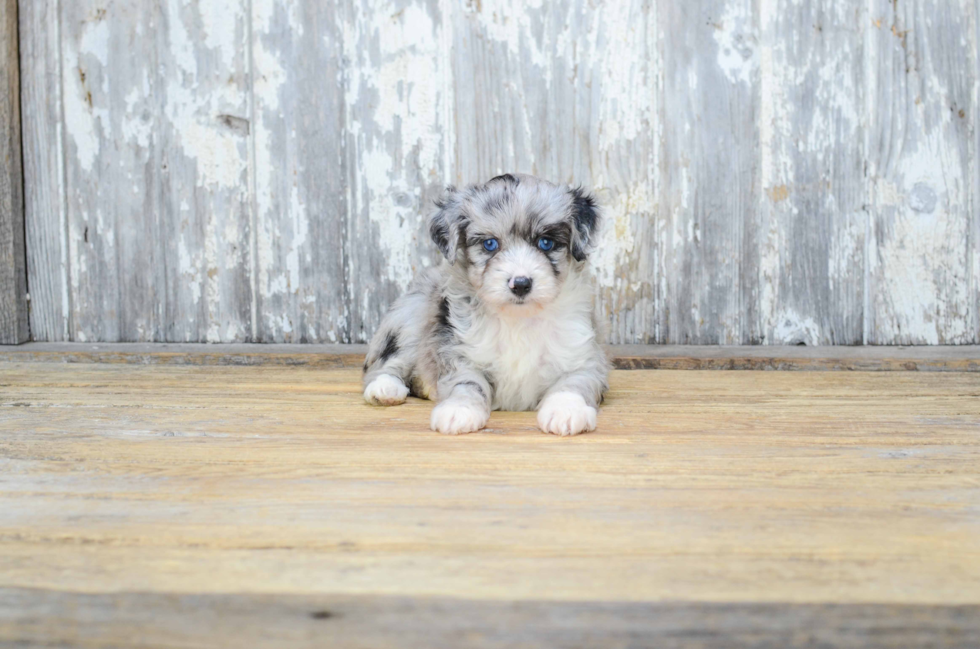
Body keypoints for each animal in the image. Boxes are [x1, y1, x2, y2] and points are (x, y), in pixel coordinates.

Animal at [362, 172, 604, 436]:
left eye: (546, 243)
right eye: (490, 244)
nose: (521, 284)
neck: (518, 319)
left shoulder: (582, 356)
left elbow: (574, 382)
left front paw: (567, 410)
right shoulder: (461, 353)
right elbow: (467, 383)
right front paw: (459, 409)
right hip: (409, 318)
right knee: (386, 363)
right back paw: (385, 388)